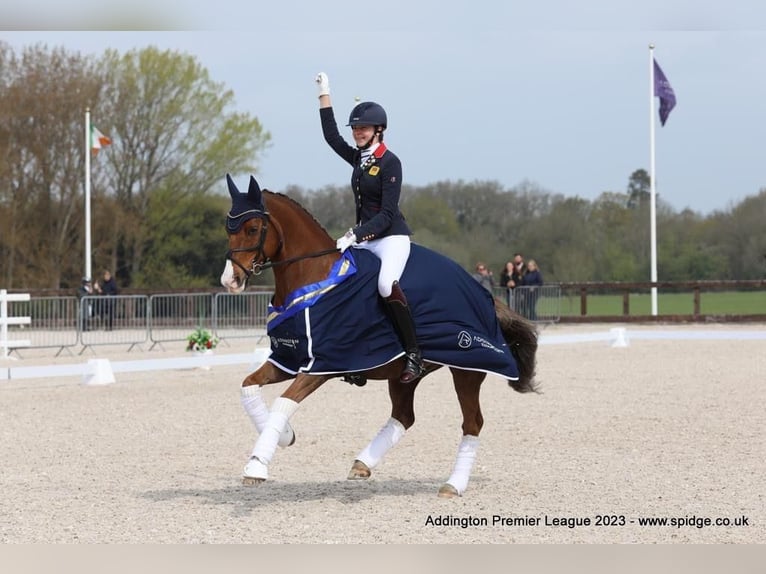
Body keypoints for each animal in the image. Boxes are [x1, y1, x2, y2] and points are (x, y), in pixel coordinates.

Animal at [220, 174, 539, 497]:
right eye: (228, 228)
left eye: (253, 229)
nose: (230, 281)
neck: (315, 275)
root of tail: (482, 293)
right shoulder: (288, 358)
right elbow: (248, 387)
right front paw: (285, 435)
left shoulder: (322, 365)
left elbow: (283, 403)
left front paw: (256, 466)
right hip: (403, 376)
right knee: (404, 416)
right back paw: (363, 463)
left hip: (467, 367)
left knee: (472, 423)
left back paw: (453, 485)